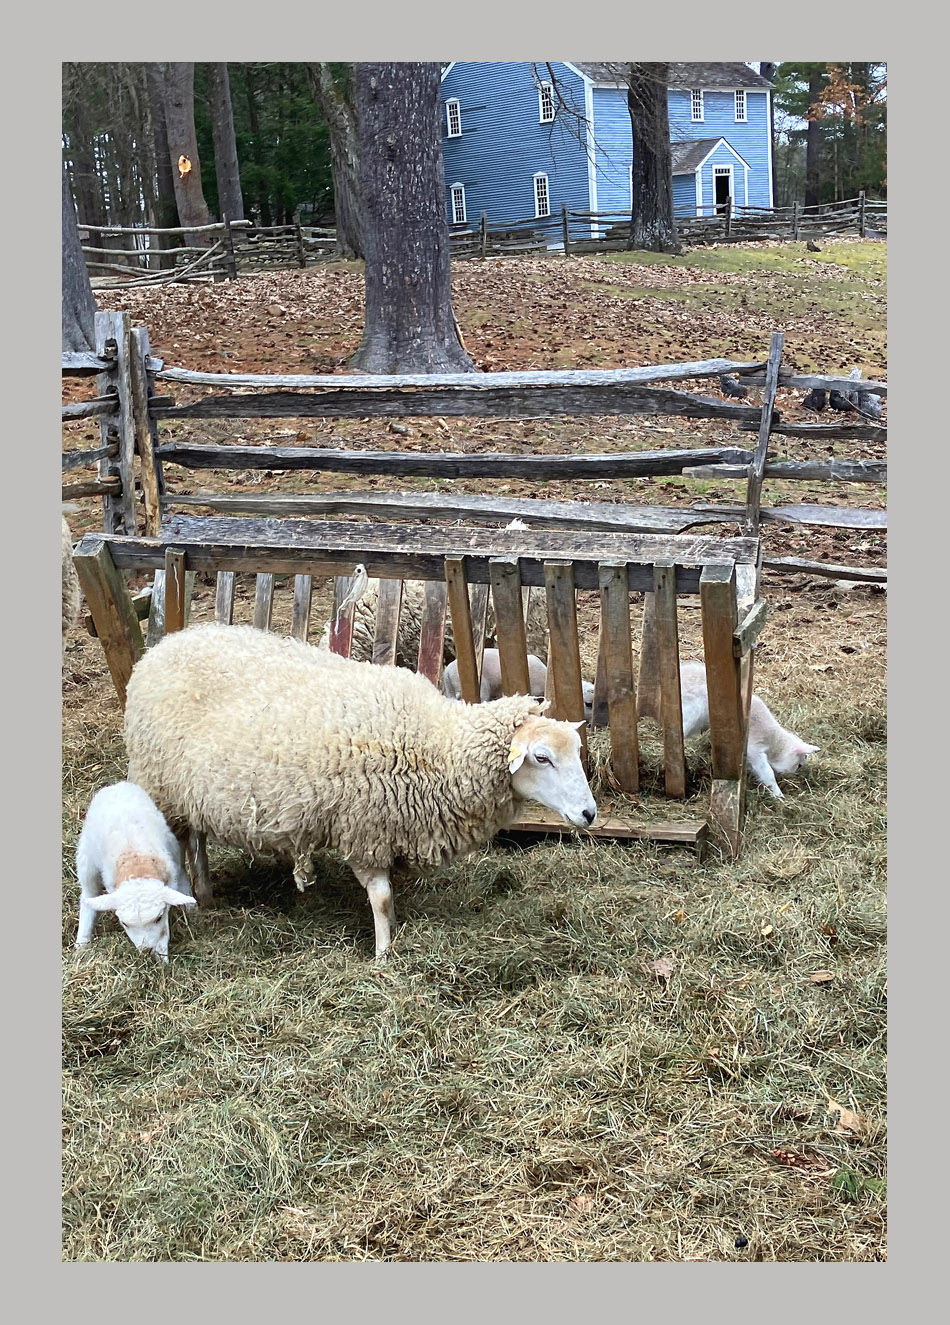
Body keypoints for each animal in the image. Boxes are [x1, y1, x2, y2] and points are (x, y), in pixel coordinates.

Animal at [74, 781, 196, 962]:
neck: (136, 865)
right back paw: (82, 942)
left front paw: (162, 957)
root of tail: (115, 786)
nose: (145, 950)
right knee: (88, 895)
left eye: (158, 918)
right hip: (86, 857)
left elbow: (163, 930)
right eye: (124, 923)